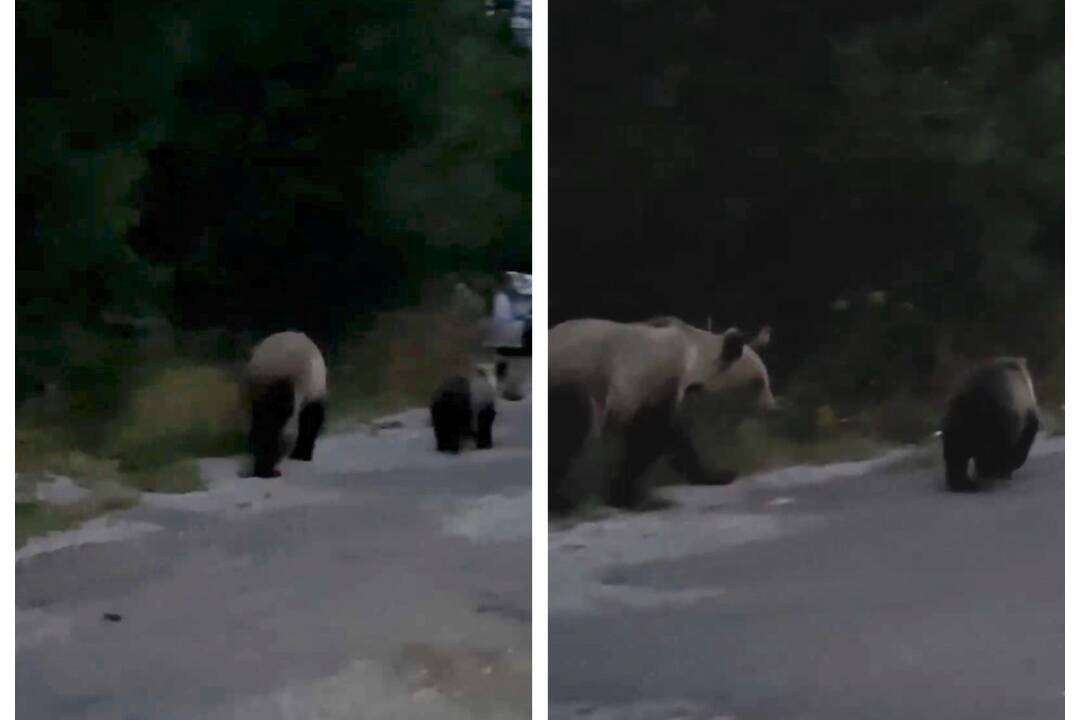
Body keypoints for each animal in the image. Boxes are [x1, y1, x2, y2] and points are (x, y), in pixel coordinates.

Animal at [552, 315, 773, 511]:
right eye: (758, 382)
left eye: (765, 379)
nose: (771, 407)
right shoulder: (644, 383)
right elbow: (639, 439)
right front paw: (624, 496)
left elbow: (667, 440)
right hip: (569, 383)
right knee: (566, 433)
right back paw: (562, 501)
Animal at [946, 358, 1036, 492]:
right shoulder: (1023, 414)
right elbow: (1020, 444)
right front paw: (1006, 469)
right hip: (994, 420)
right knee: (990, 450)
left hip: (956, 419)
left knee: (955, 452)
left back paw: (963, 483)